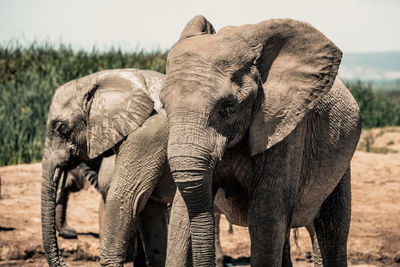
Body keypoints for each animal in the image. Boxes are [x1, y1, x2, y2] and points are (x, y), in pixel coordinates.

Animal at [159, 15, 362, 267]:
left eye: (227, 107)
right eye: (164, 106)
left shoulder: (286, 127)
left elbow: (266, 218)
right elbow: (181, 216)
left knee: (331, 227)